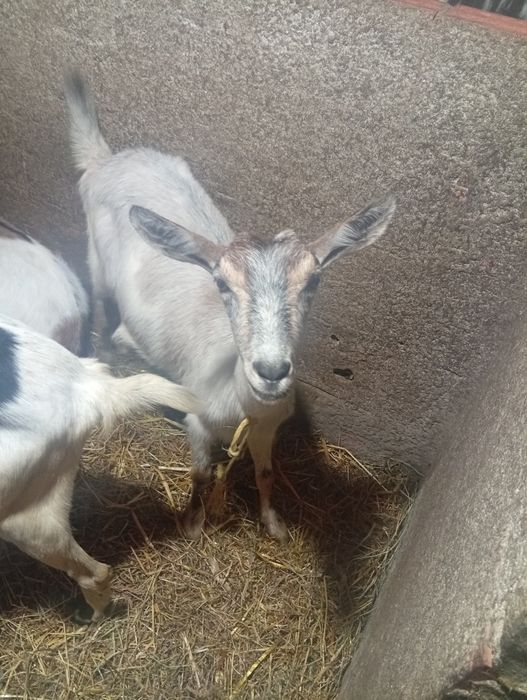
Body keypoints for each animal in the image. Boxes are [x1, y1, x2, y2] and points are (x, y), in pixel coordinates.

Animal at [65, 72, 396, 542]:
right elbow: (201, 474)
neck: (240, 400)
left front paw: (273, 523)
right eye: (221, 282)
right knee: (100, 311)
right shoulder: (200, 424)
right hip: (97, 264)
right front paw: (192, 522)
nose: (272, 371)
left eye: (313, 281)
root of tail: (105, 159)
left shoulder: (265, 429)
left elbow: (266, 474)